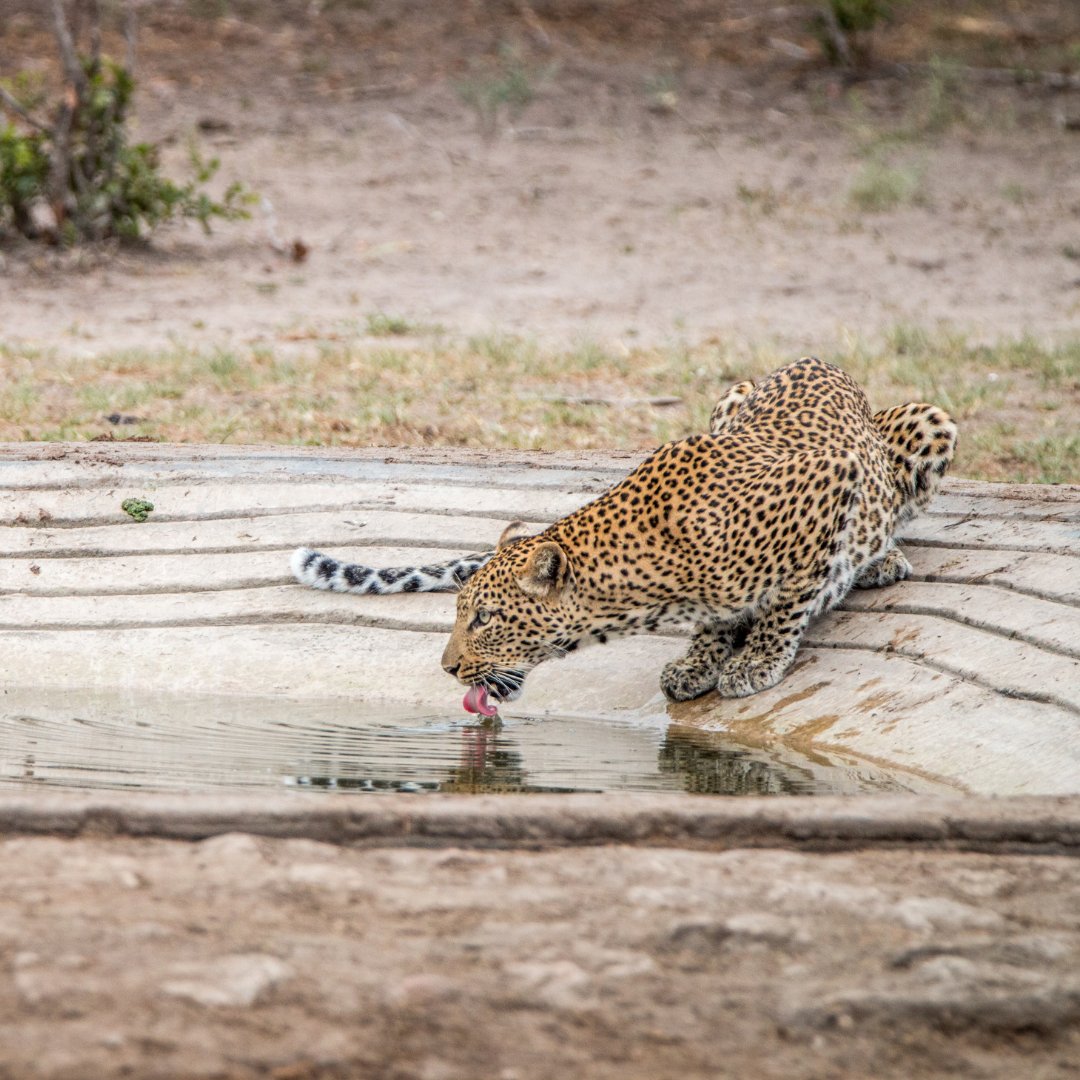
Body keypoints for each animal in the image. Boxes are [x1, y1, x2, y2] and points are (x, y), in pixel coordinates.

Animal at [291, 358, 959, 712]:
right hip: (731, 396)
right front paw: (697, 662)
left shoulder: (833, 480)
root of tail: (825, 362)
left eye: (484, 619)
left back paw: (882, 561)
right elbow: (720, 618)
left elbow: (787, 603)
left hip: (930, 420)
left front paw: (755, 662)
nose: (448, 669)